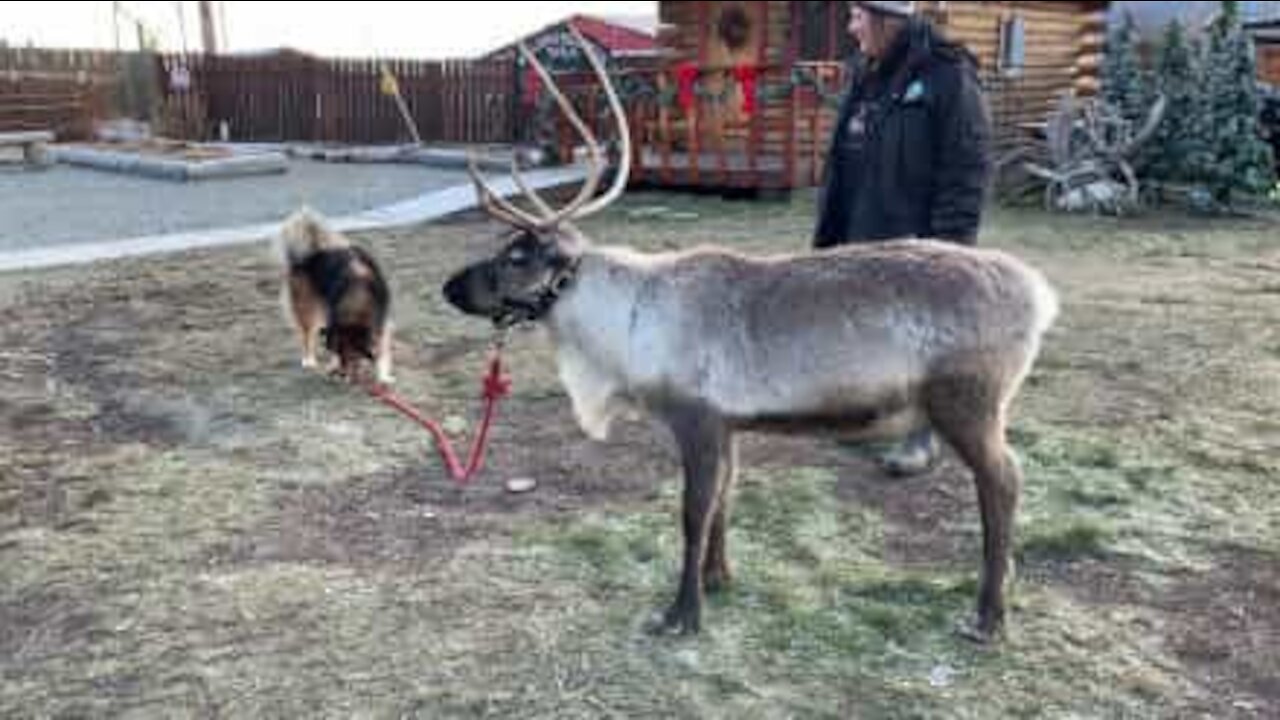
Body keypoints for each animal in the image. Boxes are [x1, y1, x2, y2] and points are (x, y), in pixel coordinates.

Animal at [279, 208, 394, 381]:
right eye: (340, 355)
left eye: (353, 357)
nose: (342, 376)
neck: (357, 298)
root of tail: (310, 255)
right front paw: (333, 365)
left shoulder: (381, 323)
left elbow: (382, 350)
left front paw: (383, 377)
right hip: (306, 307)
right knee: (307, 335)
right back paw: (309, 360)